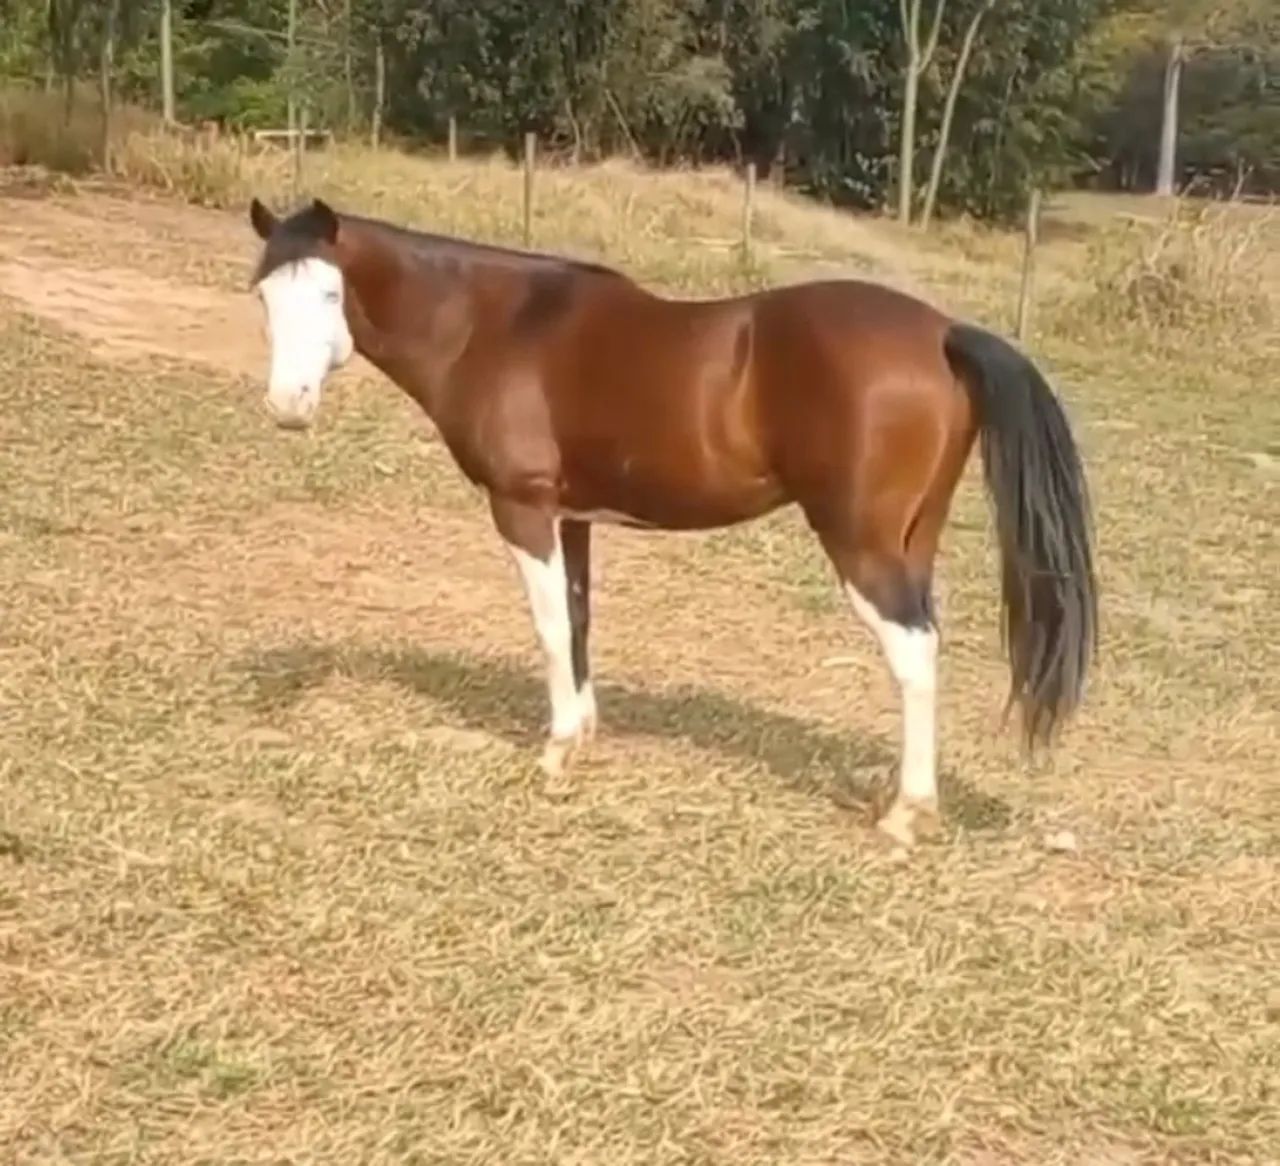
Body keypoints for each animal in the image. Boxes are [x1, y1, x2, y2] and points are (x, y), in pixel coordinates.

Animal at [245, 196, 1097, 849]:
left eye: (329, 296)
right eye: (264, 297)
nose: (287, 406)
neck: (496, 325)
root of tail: (944, 333)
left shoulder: (522, 508)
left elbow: (549, 628)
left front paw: (555, 753)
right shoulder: (574, 517)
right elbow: (580, 621)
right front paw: (583, 735)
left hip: (862, 547)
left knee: (913, 653)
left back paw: (905, 814)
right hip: (912, 541)